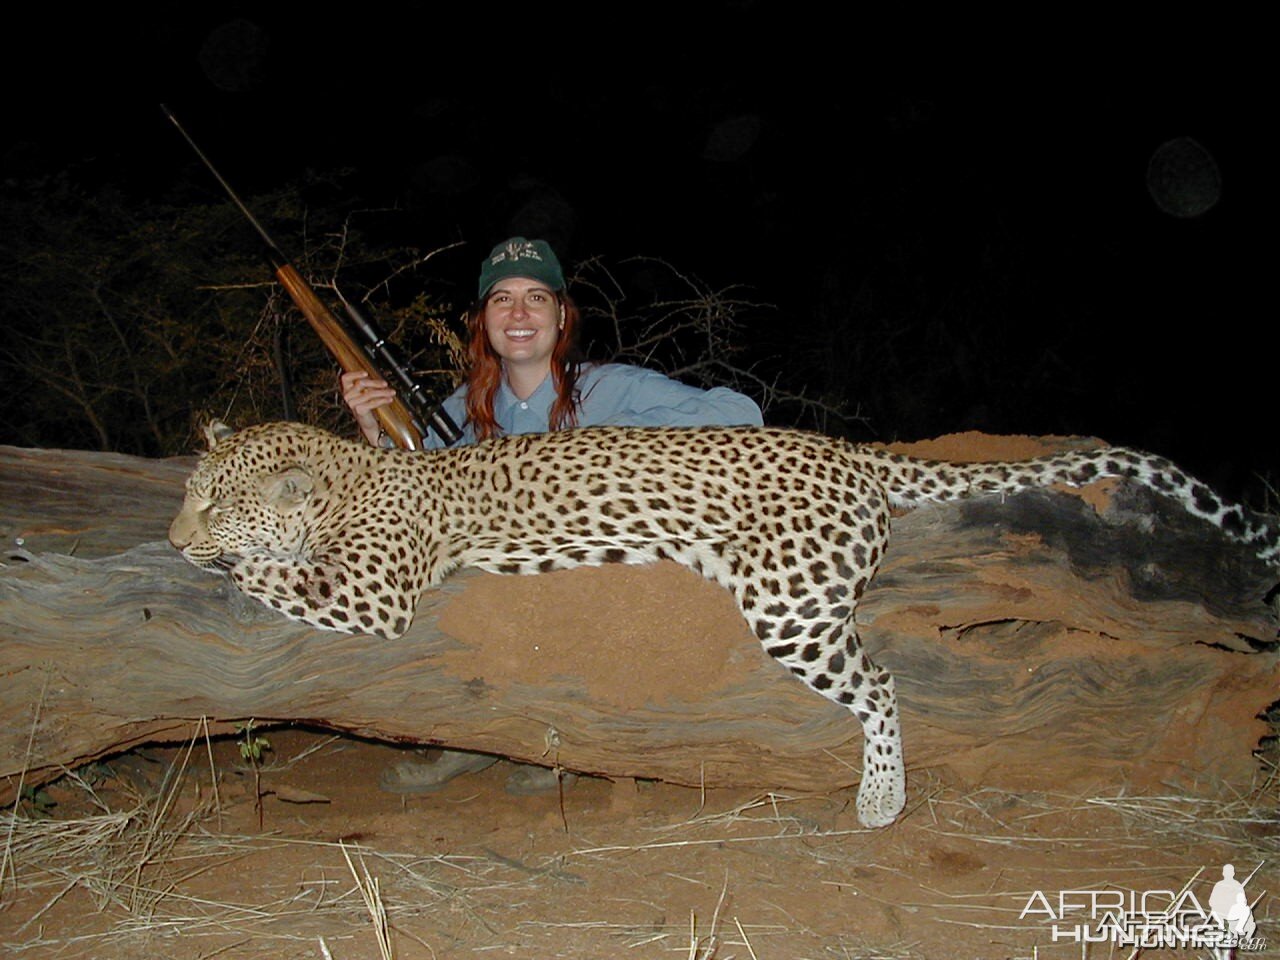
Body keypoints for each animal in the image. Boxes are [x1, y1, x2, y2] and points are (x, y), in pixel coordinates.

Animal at [170, 424, 1280, 829]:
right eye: (187, 490)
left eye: (215, 504)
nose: (179, 537)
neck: (345, 472)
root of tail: (849, 450)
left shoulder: (381, 590)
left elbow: (272, 576)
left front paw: (219, 565)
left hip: (788, 606)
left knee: (882, 685)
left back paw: (881, 800)